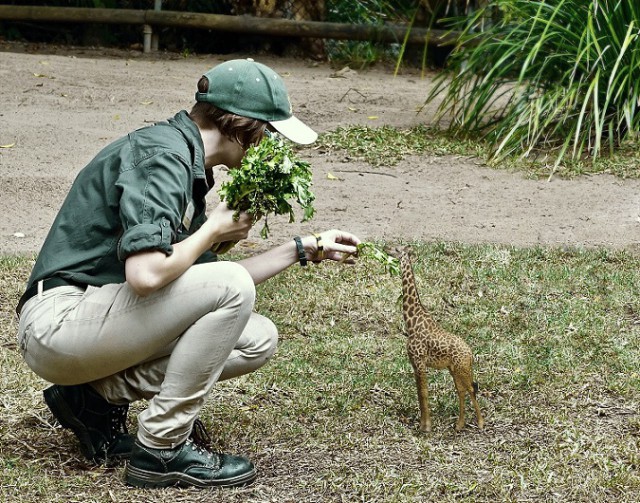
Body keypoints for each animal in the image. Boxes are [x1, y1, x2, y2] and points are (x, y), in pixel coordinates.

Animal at [390, 245, 484, 434]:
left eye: (396, 249)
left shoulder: (419, 362)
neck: (411, 322)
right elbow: (420, 392)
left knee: (471, 388)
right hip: (455, 369)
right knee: (461, 390)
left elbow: (423, 392)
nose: (385, 248)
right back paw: (459, 424)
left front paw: (425, 427)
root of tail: (470, 354)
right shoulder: (414, 363)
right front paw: (424, 424)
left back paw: (480, 423)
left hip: (461, 369)